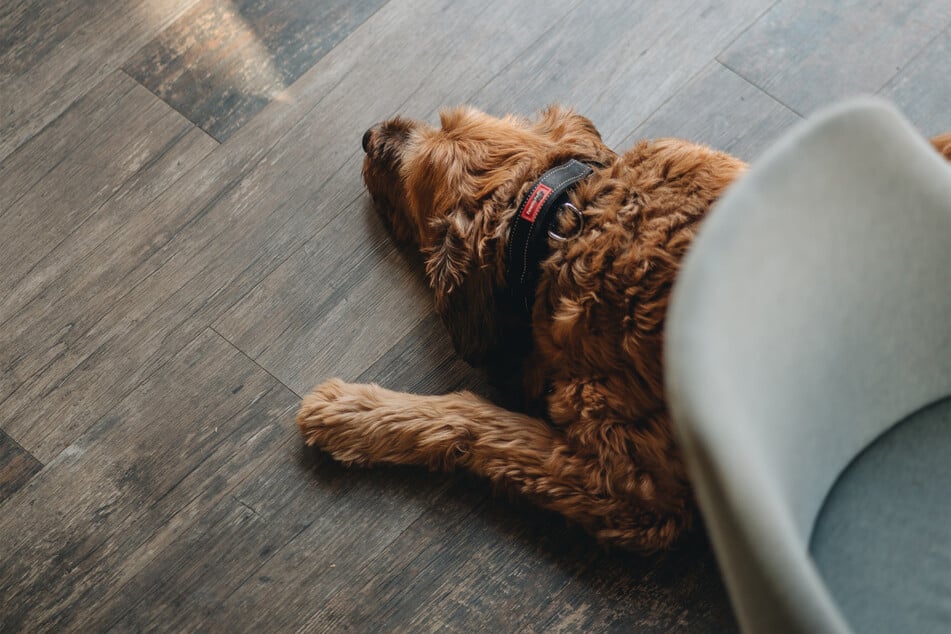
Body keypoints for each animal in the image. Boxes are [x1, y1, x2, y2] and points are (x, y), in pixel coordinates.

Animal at [302, 106, 951, 552]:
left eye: (410, 181)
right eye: (445, 119)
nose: (369, 135)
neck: (565, 220)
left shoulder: (629, 492)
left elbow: (473, 419)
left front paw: (354, 414)